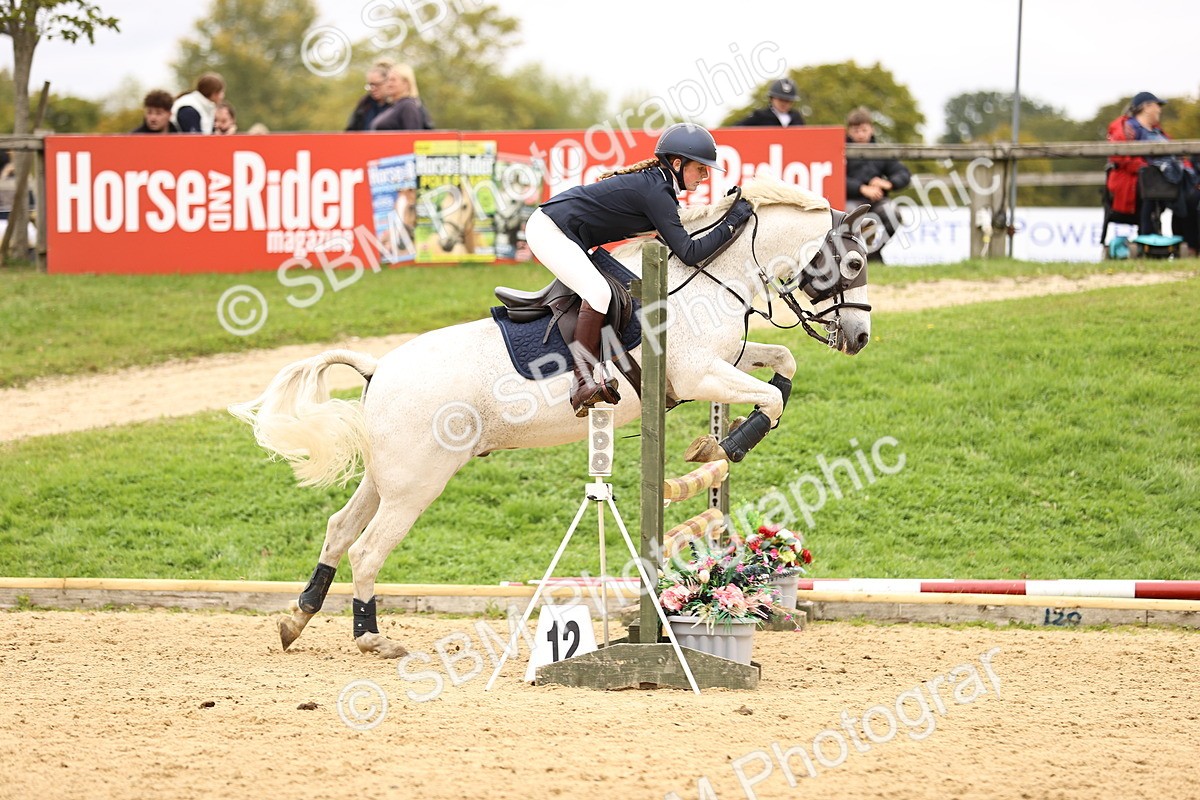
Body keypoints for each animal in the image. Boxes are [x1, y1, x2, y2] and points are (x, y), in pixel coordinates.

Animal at [229, 174, 872, 658]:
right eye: (854, 261)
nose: (860, 338)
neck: (708, 280)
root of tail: (377, 368)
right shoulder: (699, 374)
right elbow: (770, 400)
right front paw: (724, 447)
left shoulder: (724, 362)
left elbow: (783, 363)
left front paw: (724, 438)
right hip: (417, 483)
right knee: (367, 549)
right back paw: (371, 638)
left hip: (387, 475)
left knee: (340, 528)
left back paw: (297, 618)